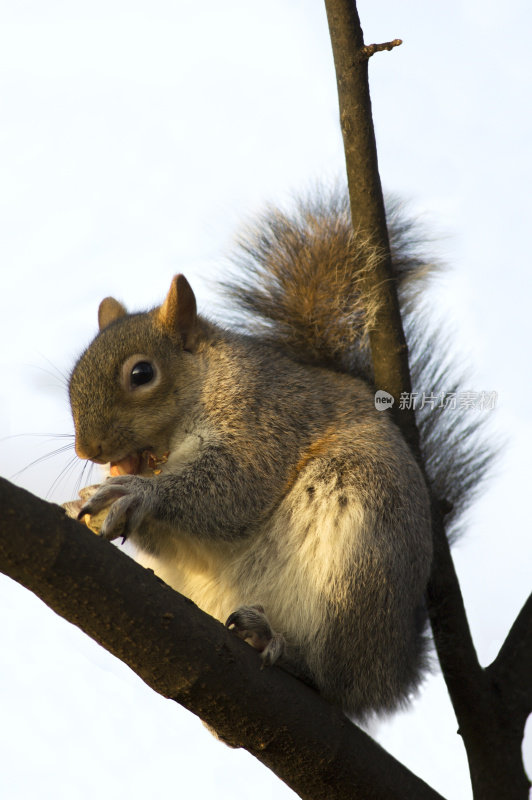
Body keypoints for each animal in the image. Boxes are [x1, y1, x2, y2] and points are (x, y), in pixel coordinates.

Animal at [64, 186, 488, 720]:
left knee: (334, 680)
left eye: (142, 374)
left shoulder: (265, 420)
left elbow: (233, 489)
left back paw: (283, 649)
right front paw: (88, 502)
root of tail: (393, 673)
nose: (88, 448)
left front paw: (138, 493)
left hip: (359, 562)